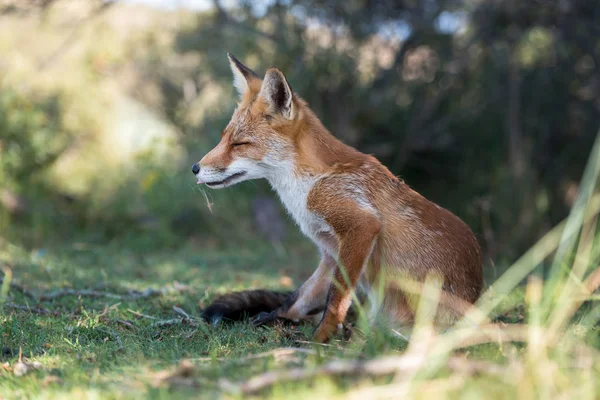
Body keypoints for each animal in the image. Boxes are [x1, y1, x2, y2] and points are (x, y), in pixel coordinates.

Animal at [193, 54, 482, 344]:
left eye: (240, 144)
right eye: (224, 139)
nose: (195, 168)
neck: (310, 183)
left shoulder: (361, 227)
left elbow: (336, 300)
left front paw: (319, 339)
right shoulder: (330, 250)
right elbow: (300, 296)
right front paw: (278, 319)